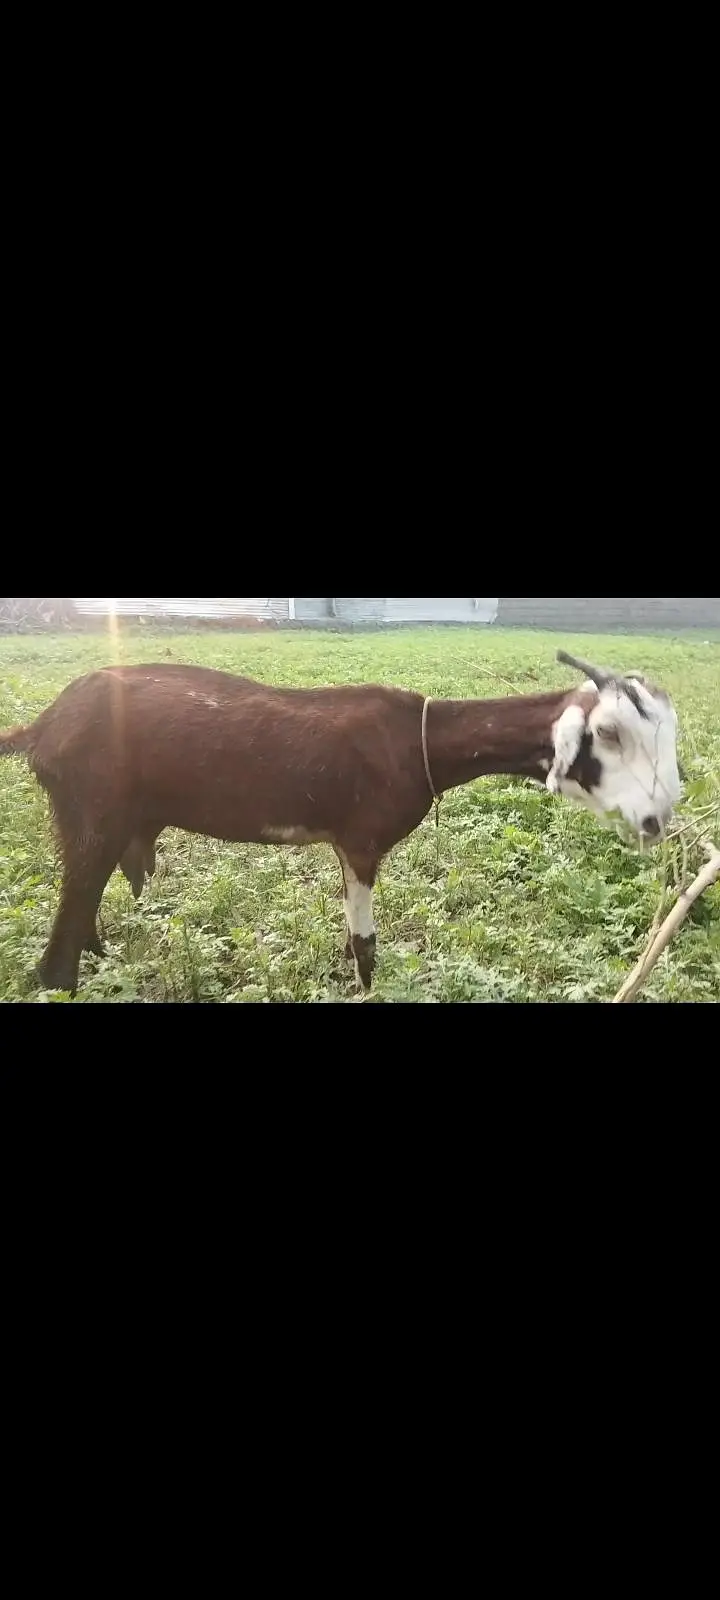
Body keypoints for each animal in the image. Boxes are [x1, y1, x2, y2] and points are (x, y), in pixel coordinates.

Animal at [0, 650, 681, 995]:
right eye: (609, 734)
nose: (657, 821)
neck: (418, 740)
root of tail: (44, 727)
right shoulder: (360, 841)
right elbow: (365, 947)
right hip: (92, 809)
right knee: (58, 958)